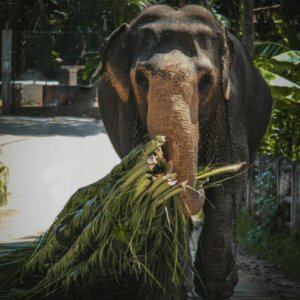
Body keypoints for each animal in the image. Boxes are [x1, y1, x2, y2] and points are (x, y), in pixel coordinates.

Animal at [92, 4, 274, 300]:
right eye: (140, 79)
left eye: (206, 80)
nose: (199, 179)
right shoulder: (126, 110)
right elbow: (155, 191)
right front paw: (171, 287)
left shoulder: (229, 105)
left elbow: (229, 176)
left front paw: (217, 288)